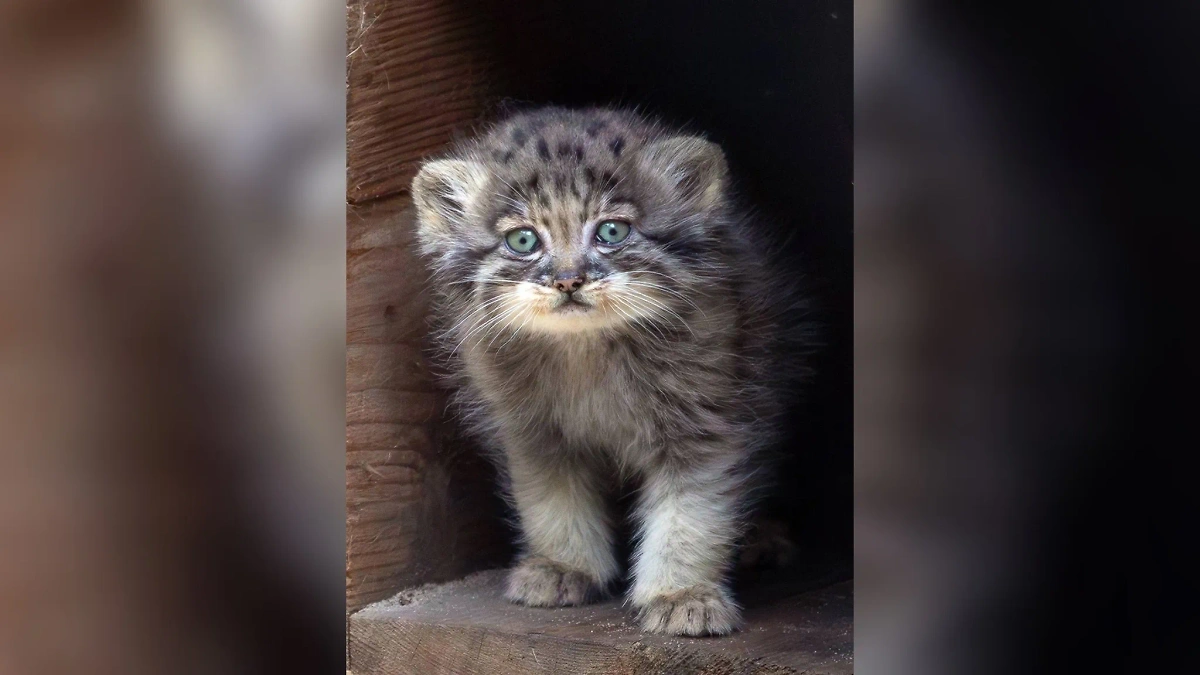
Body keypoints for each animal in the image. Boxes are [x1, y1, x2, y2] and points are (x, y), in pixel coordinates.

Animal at [408, 106, 811, 634]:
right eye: (523, 240)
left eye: (612, 232)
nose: (567, 280)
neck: (587, 352)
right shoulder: (532, 431)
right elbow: (552, 503)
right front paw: (563, 566)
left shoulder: (707, 422)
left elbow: (691, 515)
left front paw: (683, 594)